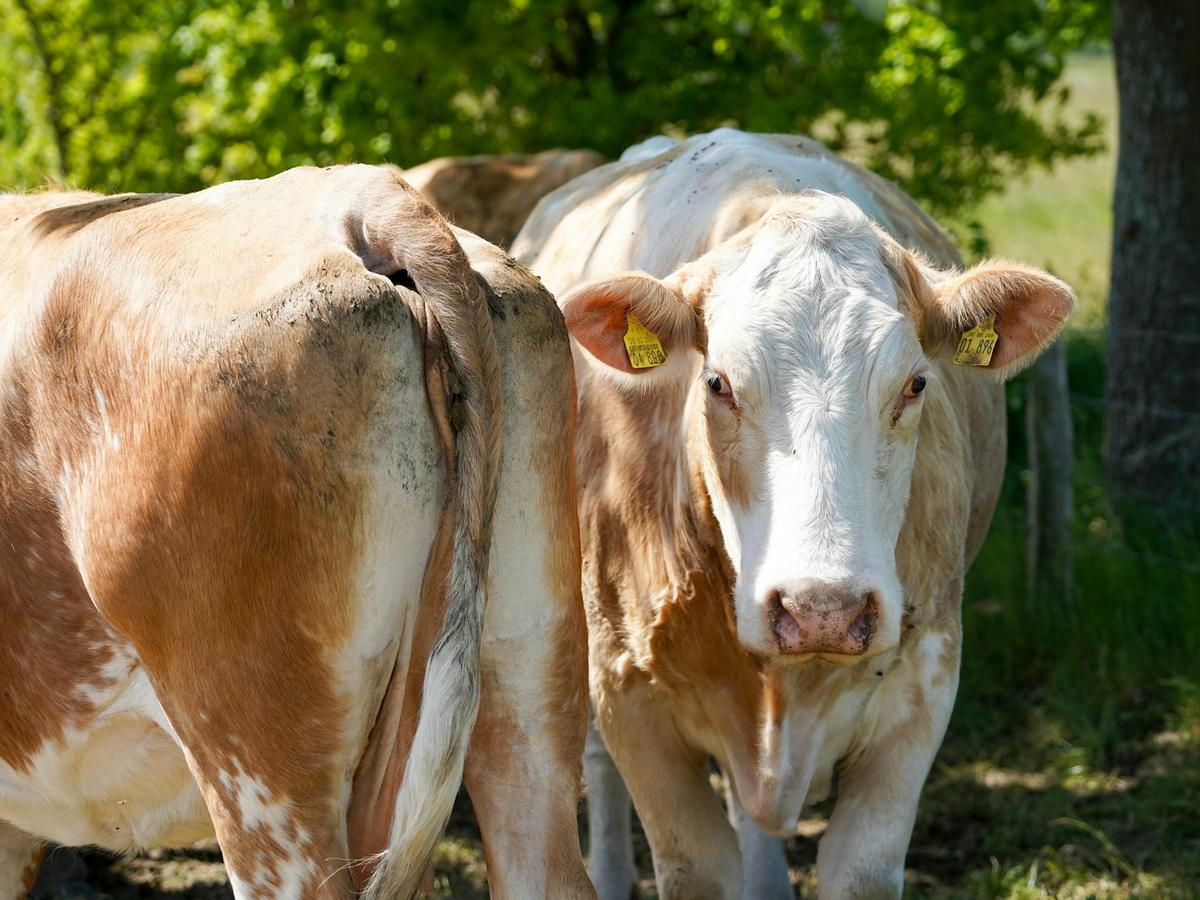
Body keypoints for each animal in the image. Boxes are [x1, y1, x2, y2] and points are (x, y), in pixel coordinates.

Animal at [512, 128, 1074, 899]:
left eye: (915, 384)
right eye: (717, 383)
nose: (822, 610)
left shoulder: (924, 685)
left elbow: (859, 868)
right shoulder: (628, 686)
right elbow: (694, 864)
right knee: (596, 764)